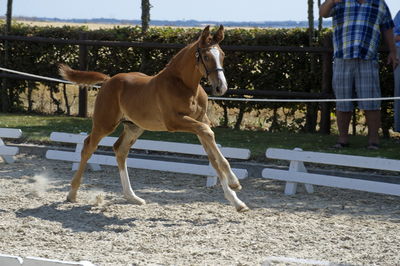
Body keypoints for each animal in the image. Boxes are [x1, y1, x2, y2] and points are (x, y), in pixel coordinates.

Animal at [59, 25, 248, 212]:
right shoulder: (175, 121)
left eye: (222, 55)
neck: (184, 86)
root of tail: (108, 80)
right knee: (88, 147)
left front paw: (237, 202)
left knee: (120, 150)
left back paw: (132, 197)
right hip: (105, 123)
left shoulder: (200, 121)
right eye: (207, 56)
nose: (221, 87)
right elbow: (208, 133)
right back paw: (72, 193)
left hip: (134, 126)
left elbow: (212, 157)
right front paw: (234, 182)